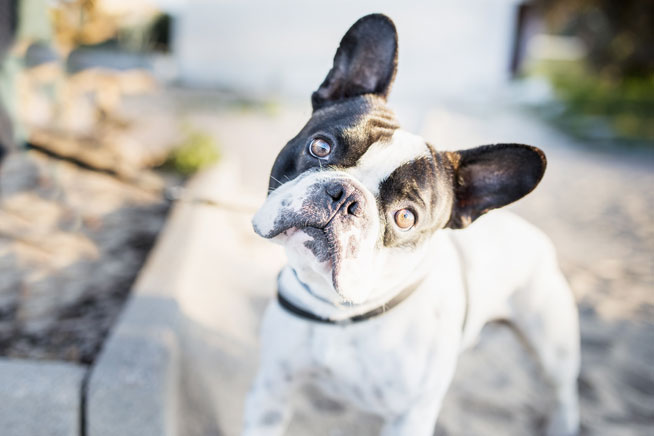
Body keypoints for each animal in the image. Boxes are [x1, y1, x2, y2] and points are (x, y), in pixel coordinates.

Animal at [245, 13, 580, 436]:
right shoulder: (271, 394)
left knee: (564, 388)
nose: (344, 196)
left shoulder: (410, 417)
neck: (342, 312)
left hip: (554, 345)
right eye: (320, 146)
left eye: (406, 217)